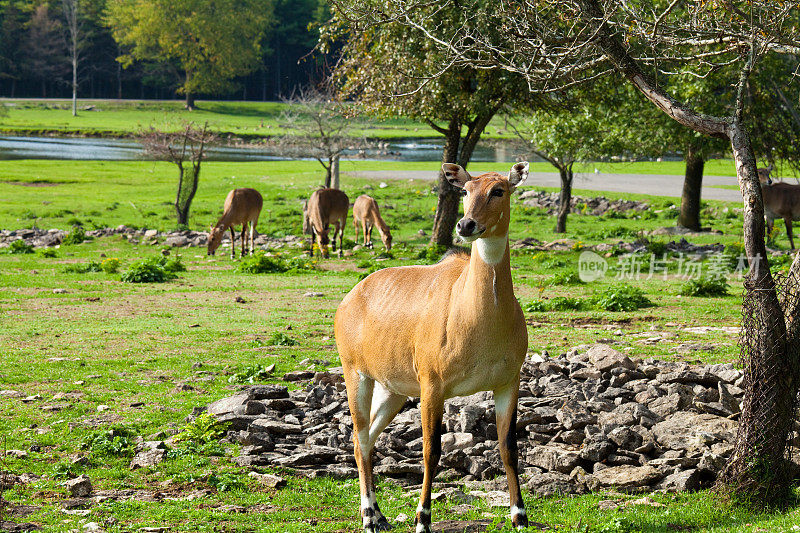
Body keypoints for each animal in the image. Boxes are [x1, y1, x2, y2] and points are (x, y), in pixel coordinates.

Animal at [332, 162, 528, 532]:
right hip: (357, 375)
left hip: (393, 390)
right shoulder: (432, 385)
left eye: (499, 190)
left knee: (365, 438)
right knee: (360, 435)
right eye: (465, 190)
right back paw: (368, 516)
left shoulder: (508, 382)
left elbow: (509, 447)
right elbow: (430, 451)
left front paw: (519, 515)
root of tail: (351, 296)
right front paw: (422, 519)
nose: (466, 225)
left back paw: (379, 515)